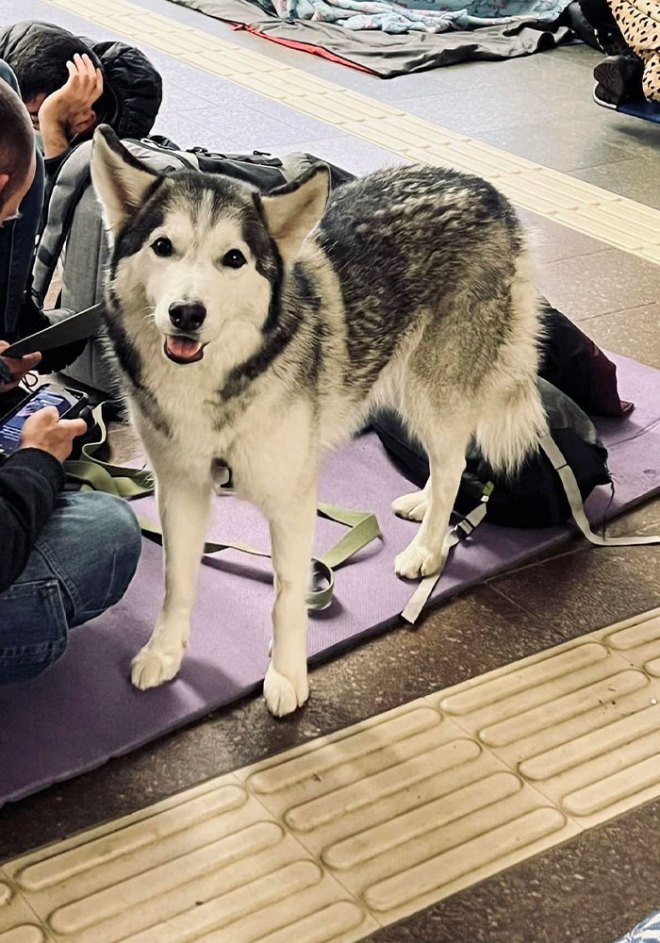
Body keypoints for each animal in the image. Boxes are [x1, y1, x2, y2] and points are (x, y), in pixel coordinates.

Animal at [91, 123, 548, 716]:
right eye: (163, 247)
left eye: (233, 259)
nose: (187, 314)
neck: (217, 388)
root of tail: (484, 187)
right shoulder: (182, 489)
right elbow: (177, 582)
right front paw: (165, 652)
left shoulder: (292, 500)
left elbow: (287, 595)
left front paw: (286, 675)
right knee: (447, 463)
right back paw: (425, 505)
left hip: (434, 390)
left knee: (452, 465)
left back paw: (426, 549)